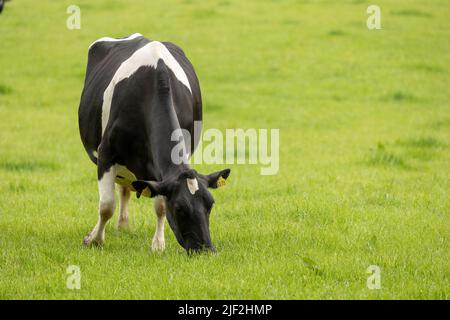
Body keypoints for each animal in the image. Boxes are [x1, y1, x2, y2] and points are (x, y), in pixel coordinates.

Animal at [77, 32, 230, 252]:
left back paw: (124, 225)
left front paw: (158, 244)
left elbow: (160, 206)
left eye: (210, 204)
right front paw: (94, 240)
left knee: (125, 187)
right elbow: (106, 206)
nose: (206, 250)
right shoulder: (106, 153)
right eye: (179, 208)